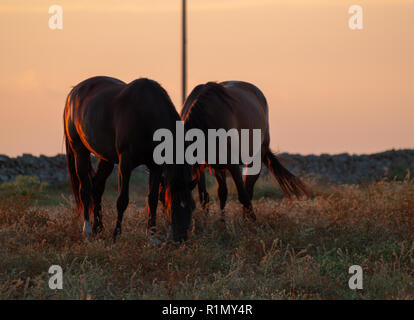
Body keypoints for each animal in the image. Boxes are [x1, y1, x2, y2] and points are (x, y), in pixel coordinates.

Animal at [63, 77, 196, 242]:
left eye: (192, 206)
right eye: (173, 205)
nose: (181, 239)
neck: (146, 115)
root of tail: (73, 93)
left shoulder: (156, 166)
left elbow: (152, 199)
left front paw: (152, 237)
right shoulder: (125, 163)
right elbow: (122, 200)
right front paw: (116, 237)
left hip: (105, 158)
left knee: (97, 187)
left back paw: (98, 228)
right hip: (80, 151)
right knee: (85, 189)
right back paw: (87, 232)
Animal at [180, 81, 308, 219]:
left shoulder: (232, 164)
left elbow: (243, 195)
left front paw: (252, 221)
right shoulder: (203, 165)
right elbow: (206, 196)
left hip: (255, 159)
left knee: (248, 190)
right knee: (225, 192)